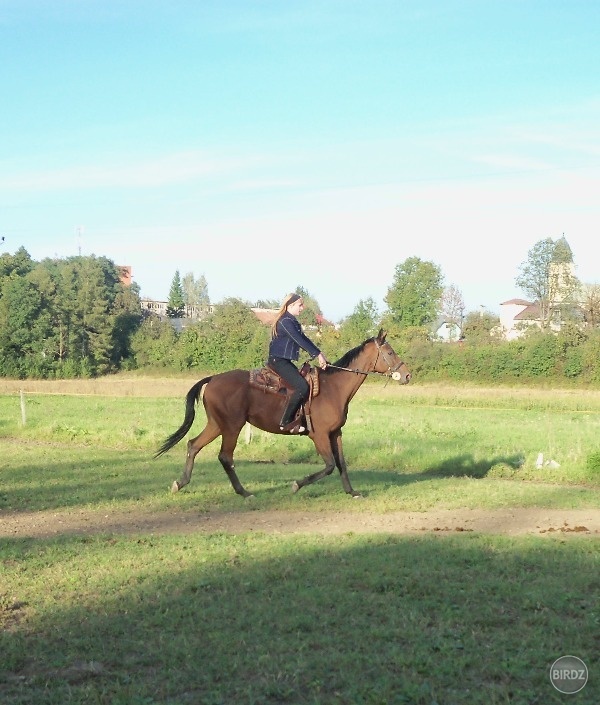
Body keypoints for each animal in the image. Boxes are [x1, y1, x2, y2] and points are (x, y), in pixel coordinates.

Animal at [154, 328, 412, 496]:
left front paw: (351, 491)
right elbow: (329, 465)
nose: (407, 375)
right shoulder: (319, 435)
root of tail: (214, 378)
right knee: (225, 457)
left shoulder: (335, 433)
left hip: (217, 424)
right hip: (232, 427)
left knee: (193, 445)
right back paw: (244, 492)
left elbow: (341, 464)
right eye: (390, 352)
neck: (333, 388)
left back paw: (181, 483)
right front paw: (297, 484)